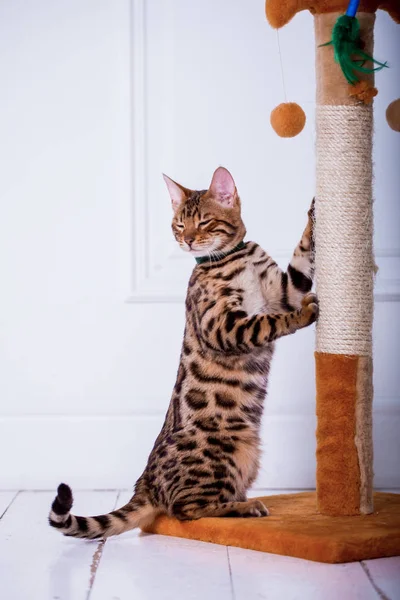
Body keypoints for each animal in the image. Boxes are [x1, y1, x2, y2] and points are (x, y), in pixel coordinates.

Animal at [50, 165, 318, 540]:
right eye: (179, 224)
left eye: (204, 222)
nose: (188, 240)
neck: (233, 258)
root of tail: (145, 483)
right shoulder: (222, 325)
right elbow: (268, 321)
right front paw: (303, 315)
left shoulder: (283, 290)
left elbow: (303, 256)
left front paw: (314, 212)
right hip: (224, 450)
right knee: (185, 511)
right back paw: (244, 507)